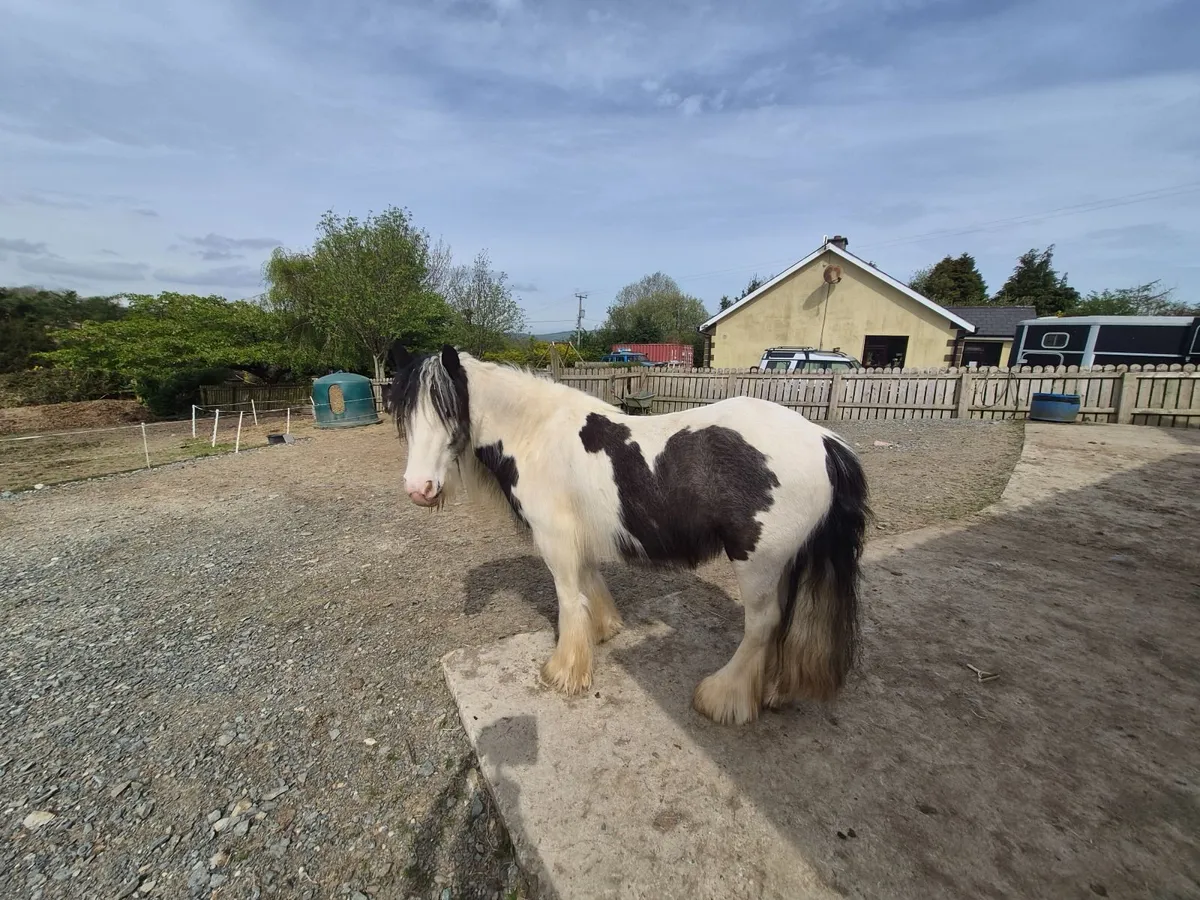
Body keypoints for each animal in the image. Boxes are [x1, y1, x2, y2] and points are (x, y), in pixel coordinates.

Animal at [385, 342, 870, 726]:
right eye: (405, 416)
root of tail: (826, 441)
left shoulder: (555, 540)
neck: (534, 434)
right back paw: (770, 691)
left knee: (762, 625)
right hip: (789, 562)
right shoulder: (578, 538)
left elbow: (569, 600)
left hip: (758, 562)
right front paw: (603, 630)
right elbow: (590, 586)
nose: (418, 489)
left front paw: (565, 671)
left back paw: (723, 697)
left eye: (447, 410)